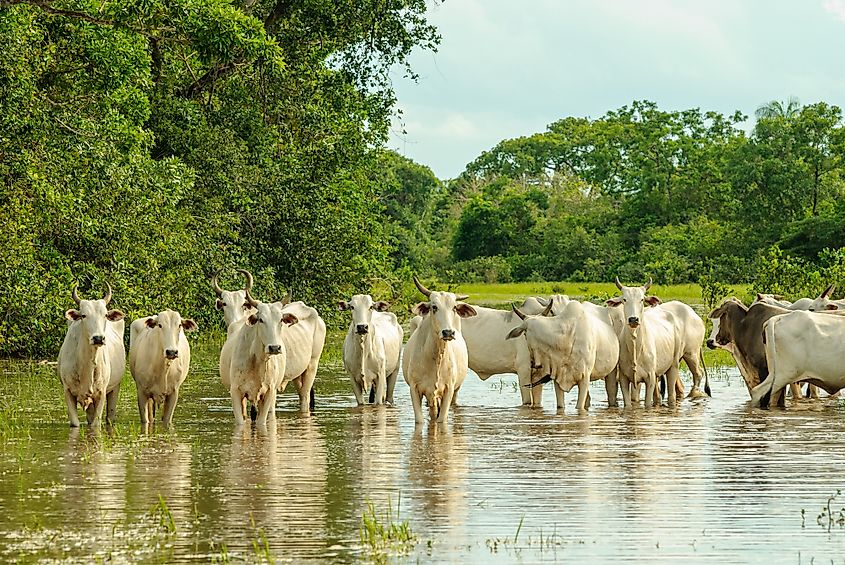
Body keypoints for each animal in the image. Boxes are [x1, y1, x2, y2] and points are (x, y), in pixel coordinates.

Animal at [57, 286, 125, 428]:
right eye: (83, 315)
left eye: (105, 315)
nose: (98, 338)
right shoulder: (68, 391)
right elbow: (75, 423)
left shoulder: (101, 393)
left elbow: (95, 424)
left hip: (115, 387)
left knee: (110, 417)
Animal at [219, 290, 298, 424]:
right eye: (261, 320)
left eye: (281, 320)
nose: (274, 348)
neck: (256, 360)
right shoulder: (235, 392)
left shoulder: (269, 392)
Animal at [402, 278, 474, 424]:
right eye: (434, 307)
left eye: (454, 307)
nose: (448, 332)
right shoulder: (414, 388)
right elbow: (420, 420)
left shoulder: (448, 389)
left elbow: (441, 420)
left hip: (454, 390)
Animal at [604, 278, 708, 406]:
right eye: (624, 299)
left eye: (642, 299)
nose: (633, 319)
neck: (635, 346)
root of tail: (694, 315)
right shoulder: (624, 378)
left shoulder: (650, 378)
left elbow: (647, 403)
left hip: (686, 356)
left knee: (695, 376)